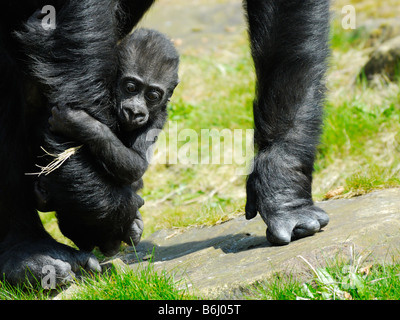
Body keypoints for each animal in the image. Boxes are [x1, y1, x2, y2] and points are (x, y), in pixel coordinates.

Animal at [35, 28, 179, 256]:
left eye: (152, 96)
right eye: (131, 87)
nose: (134, 111)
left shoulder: (157, 117)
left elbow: (137, 165)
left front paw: (81, 124)